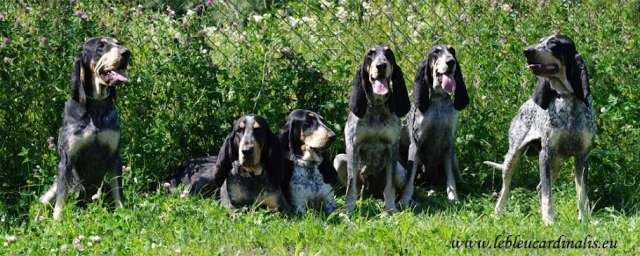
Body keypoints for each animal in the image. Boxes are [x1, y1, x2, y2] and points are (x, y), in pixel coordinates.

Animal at [38, 36, 131, 220]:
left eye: (117, 43)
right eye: (101, 46)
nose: (127, 52)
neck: (96, 106)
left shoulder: (115, 156)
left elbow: (118, 191)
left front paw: (122, 212)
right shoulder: (67, 160)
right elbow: (61, 199)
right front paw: (57, 221)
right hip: (48, 194)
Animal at [332, 45, 412, 212]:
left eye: (388, 53)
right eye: (370, 54)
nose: (381, 66)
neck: (377, 106)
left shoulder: (392, 147)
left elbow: (389, 186)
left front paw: (390, 209)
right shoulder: (353, 146)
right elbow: (351, 186)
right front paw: (347, 210)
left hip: (400, 171)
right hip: (340, 160)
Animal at [484, 34, 596, 224]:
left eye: (553, 43)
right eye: (540, 40)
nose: (527, 51)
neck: (568, 99)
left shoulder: (582, 158)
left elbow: (582, 194)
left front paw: (584, 220)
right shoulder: (545, 154)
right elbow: (547, 195)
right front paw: (549, 221)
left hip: (557, 163)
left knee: (538, 188)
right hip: (513, 157)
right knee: (505, 189)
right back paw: (497, 213)